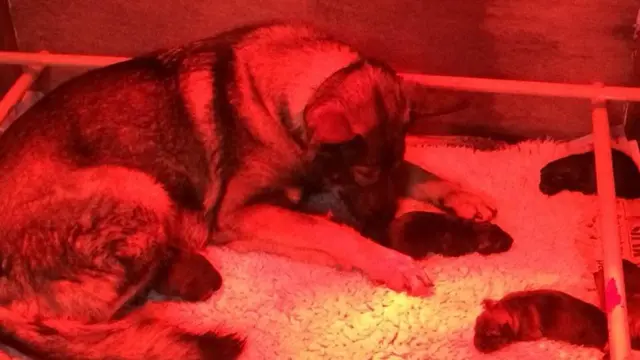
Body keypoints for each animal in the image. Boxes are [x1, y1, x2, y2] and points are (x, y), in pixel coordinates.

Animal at [0, 21, 496, 358]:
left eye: (386, 170)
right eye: (362, 175)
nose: (384, 227)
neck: (285, 91)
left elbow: (417, 169)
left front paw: (461, 195)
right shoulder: (239, 213)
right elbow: (330, 230)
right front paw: (388, 260)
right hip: (140, 188)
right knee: (89, 319)